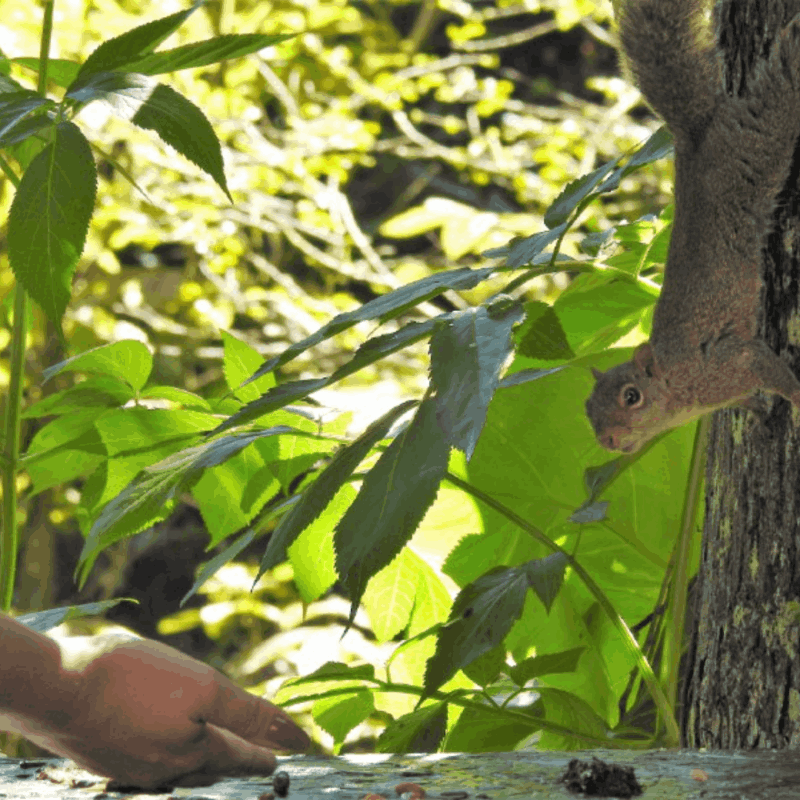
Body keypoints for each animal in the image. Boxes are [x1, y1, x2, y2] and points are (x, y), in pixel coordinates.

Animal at [584, 0, 800, 450]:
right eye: (587, 408)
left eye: (632, 396)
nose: (608, 441)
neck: (679, 393)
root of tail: (693, 139)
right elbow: (747, 400)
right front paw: (758, 413)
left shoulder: (729, 363)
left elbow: (768, 369)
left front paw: (798, 399)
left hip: (756, 142)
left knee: (779, 87)